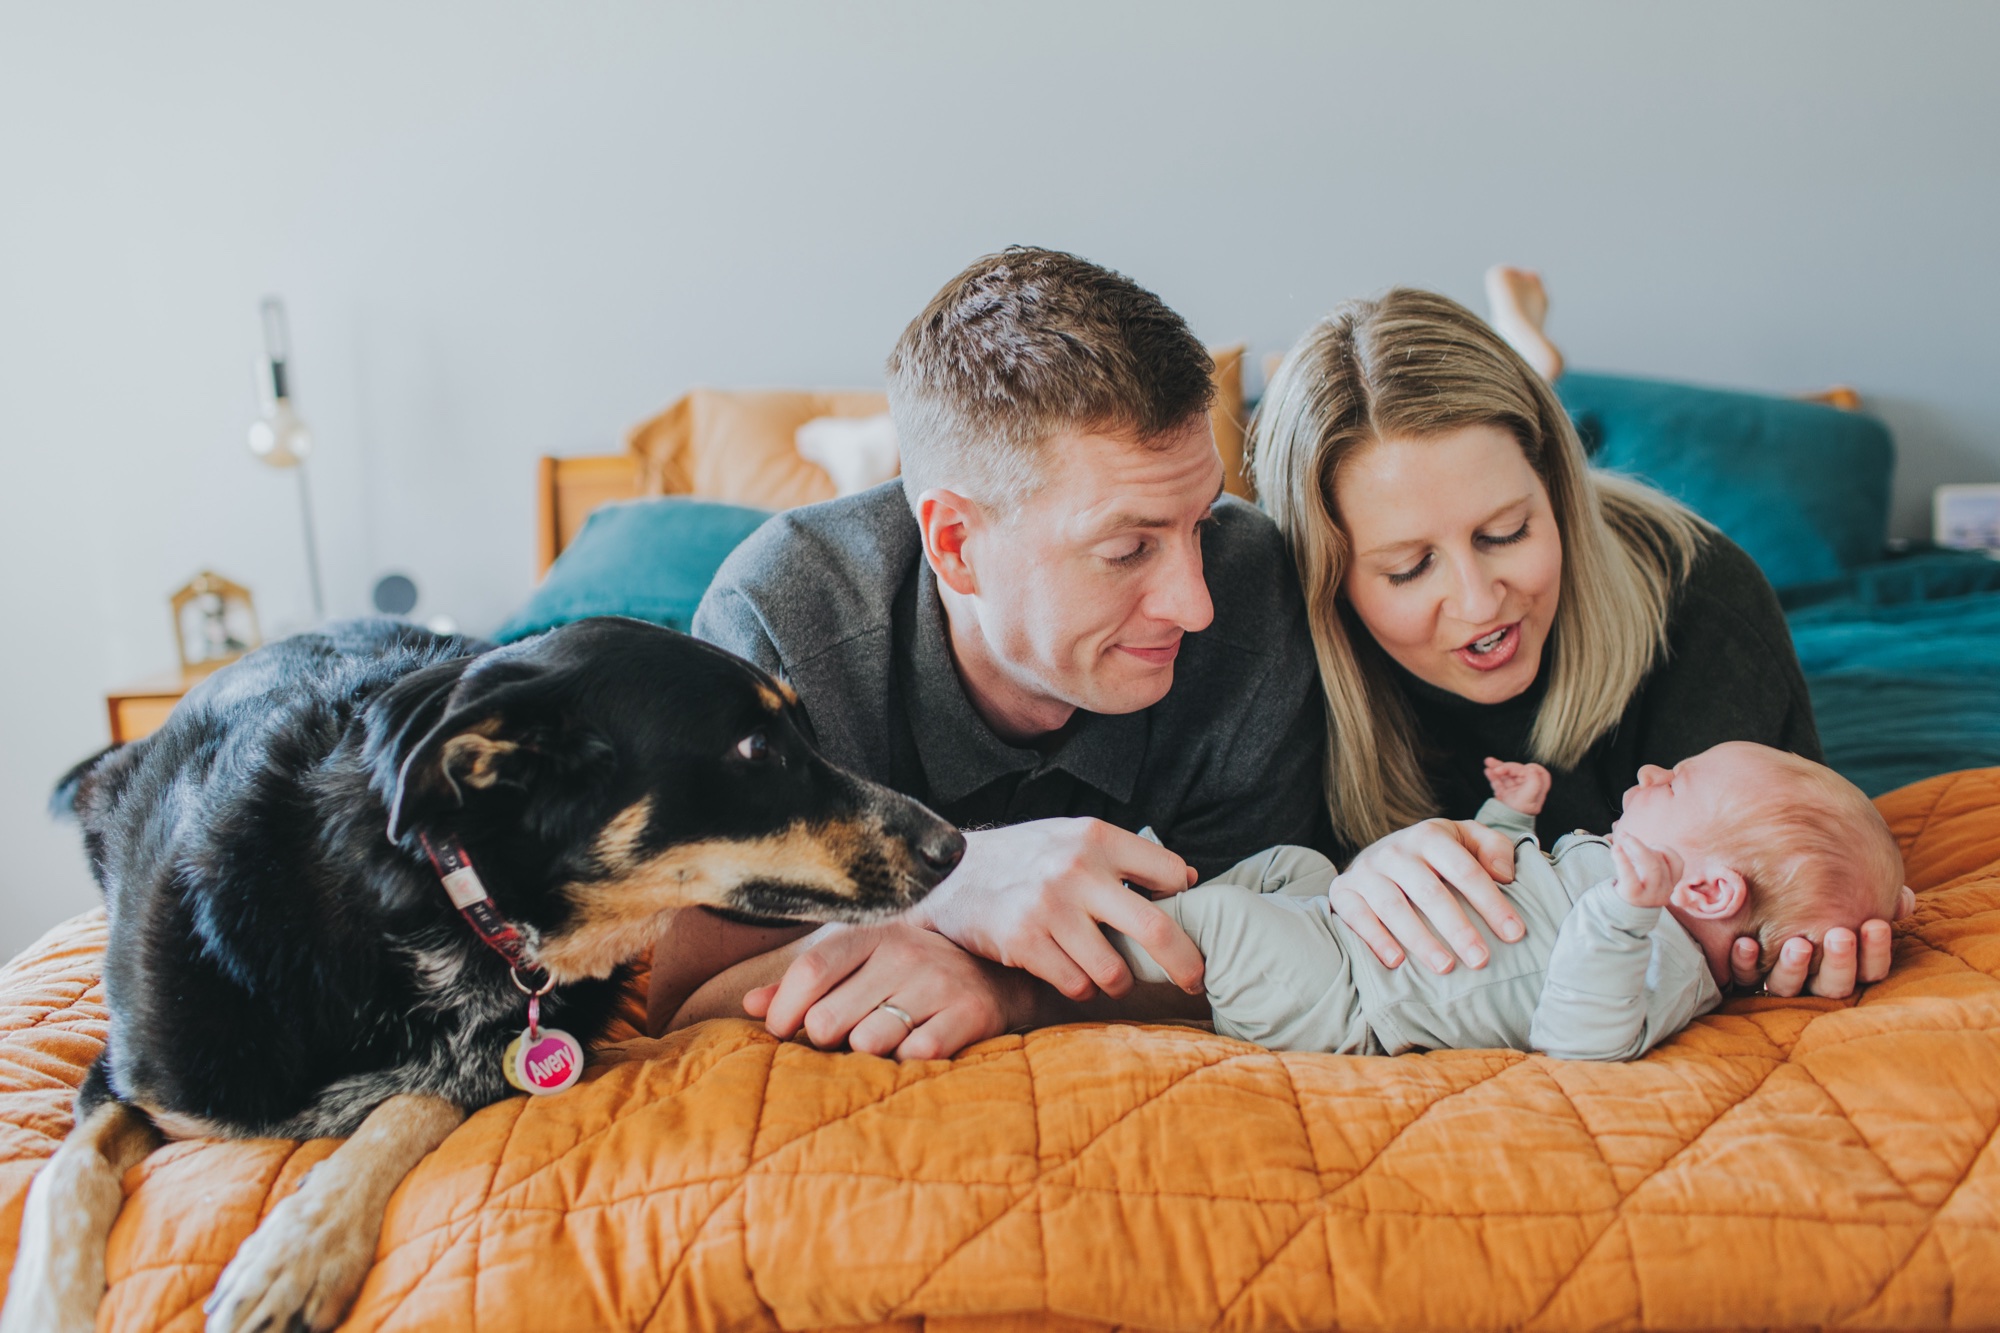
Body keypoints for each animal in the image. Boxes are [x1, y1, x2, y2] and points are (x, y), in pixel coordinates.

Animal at [0, 616, 968, 1328]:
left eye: (800, 732)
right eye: (754, 750)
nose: (956, 845)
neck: (438, 902)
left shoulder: (498, 1059)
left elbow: (402, 1109)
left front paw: (299, 1245)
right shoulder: (125, 1079)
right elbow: (66, 1174)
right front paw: (51, 1303)